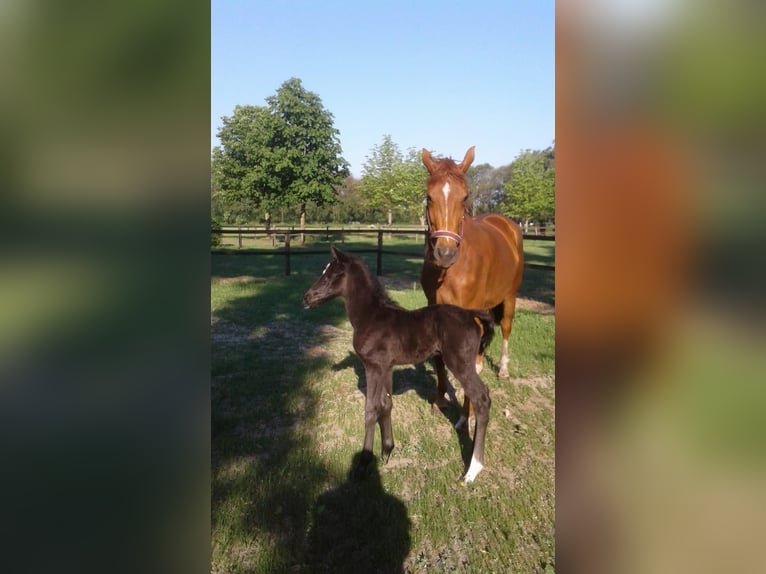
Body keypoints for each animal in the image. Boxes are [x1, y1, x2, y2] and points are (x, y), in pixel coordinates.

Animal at [304, 248, 496, 486]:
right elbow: (386, 404)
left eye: (331, 275)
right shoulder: (386, 367)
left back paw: (472, 470)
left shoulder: (373, 367)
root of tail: (471, 314)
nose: (307, 297)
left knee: (482, 398)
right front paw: (387, 450)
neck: (371, 316)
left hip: (459, 363)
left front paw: (363, 463)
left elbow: (371, 409)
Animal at [424, 148, 524, 426]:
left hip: (509, 297)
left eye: (465, 196)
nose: (445, 253)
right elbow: (439, 361)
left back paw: (503, 370)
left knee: (505, 329)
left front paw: (466, 417)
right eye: (429, 196)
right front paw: (439, 401)